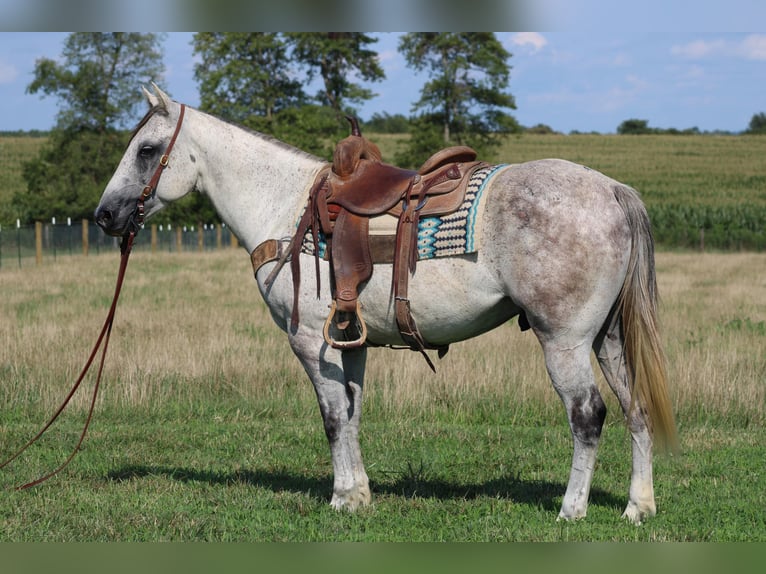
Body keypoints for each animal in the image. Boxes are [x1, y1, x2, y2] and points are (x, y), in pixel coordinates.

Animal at [94, 85, 680, 528]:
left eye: (146, 149)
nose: (105, 215)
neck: (284, 207)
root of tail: (610, 189)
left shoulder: (309, 341)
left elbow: (332, 418)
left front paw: (339, 498)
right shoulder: (349, 343)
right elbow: (352, 414)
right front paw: (358, 496)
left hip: (564, 342)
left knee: (588, 414)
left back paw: (571, 509)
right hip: (606, 339)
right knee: (635, 409)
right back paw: (638, 507)